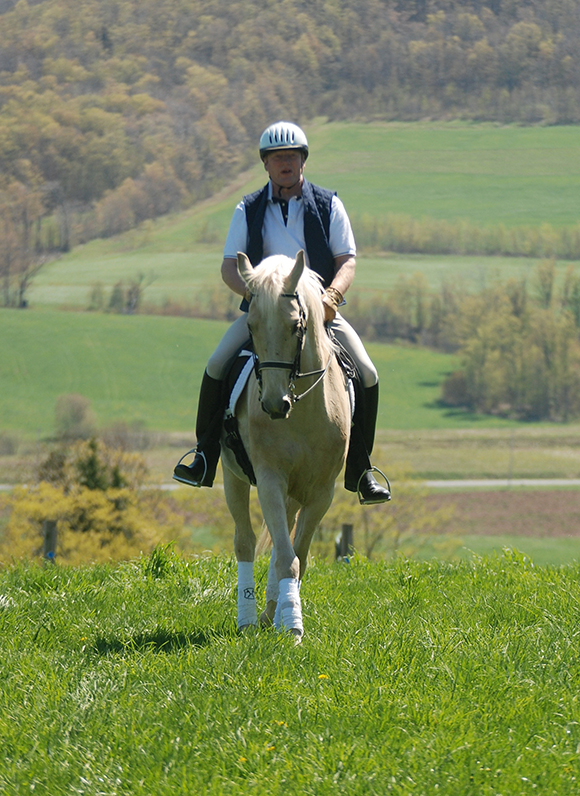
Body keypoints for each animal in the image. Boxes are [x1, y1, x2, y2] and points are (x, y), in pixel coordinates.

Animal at [221, 252, 348, 644]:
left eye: (296, 327)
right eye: (251, 327)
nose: (274, 404)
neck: (303, 410)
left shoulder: (322, 492)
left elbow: (297, 556)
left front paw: (285, 620)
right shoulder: (269, 480)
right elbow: (285, 557)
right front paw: (292, 626)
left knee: (280, 543)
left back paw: (268, 613)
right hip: (232, 477)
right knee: (245, 542)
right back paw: (248, 618)